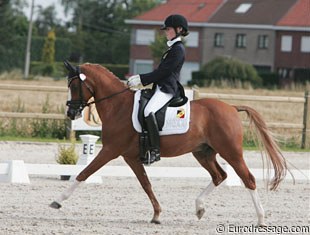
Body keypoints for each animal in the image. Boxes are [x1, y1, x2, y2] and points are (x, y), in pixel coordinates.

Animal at [49, 62, 286, 226]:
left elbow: (84, 173)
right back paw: (199, 208)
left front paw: (58, 201)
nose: (71, 113)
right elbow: (146, 184)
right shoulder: (130, 156)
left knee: (248, 179)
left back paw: (261, 219)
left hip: (231, 152)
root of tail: (231, 108)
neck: (118, 106)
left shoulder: (110, 150)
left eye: (74, 85)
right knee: (220, 176)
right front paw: (156, 214)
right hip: (203, 153)